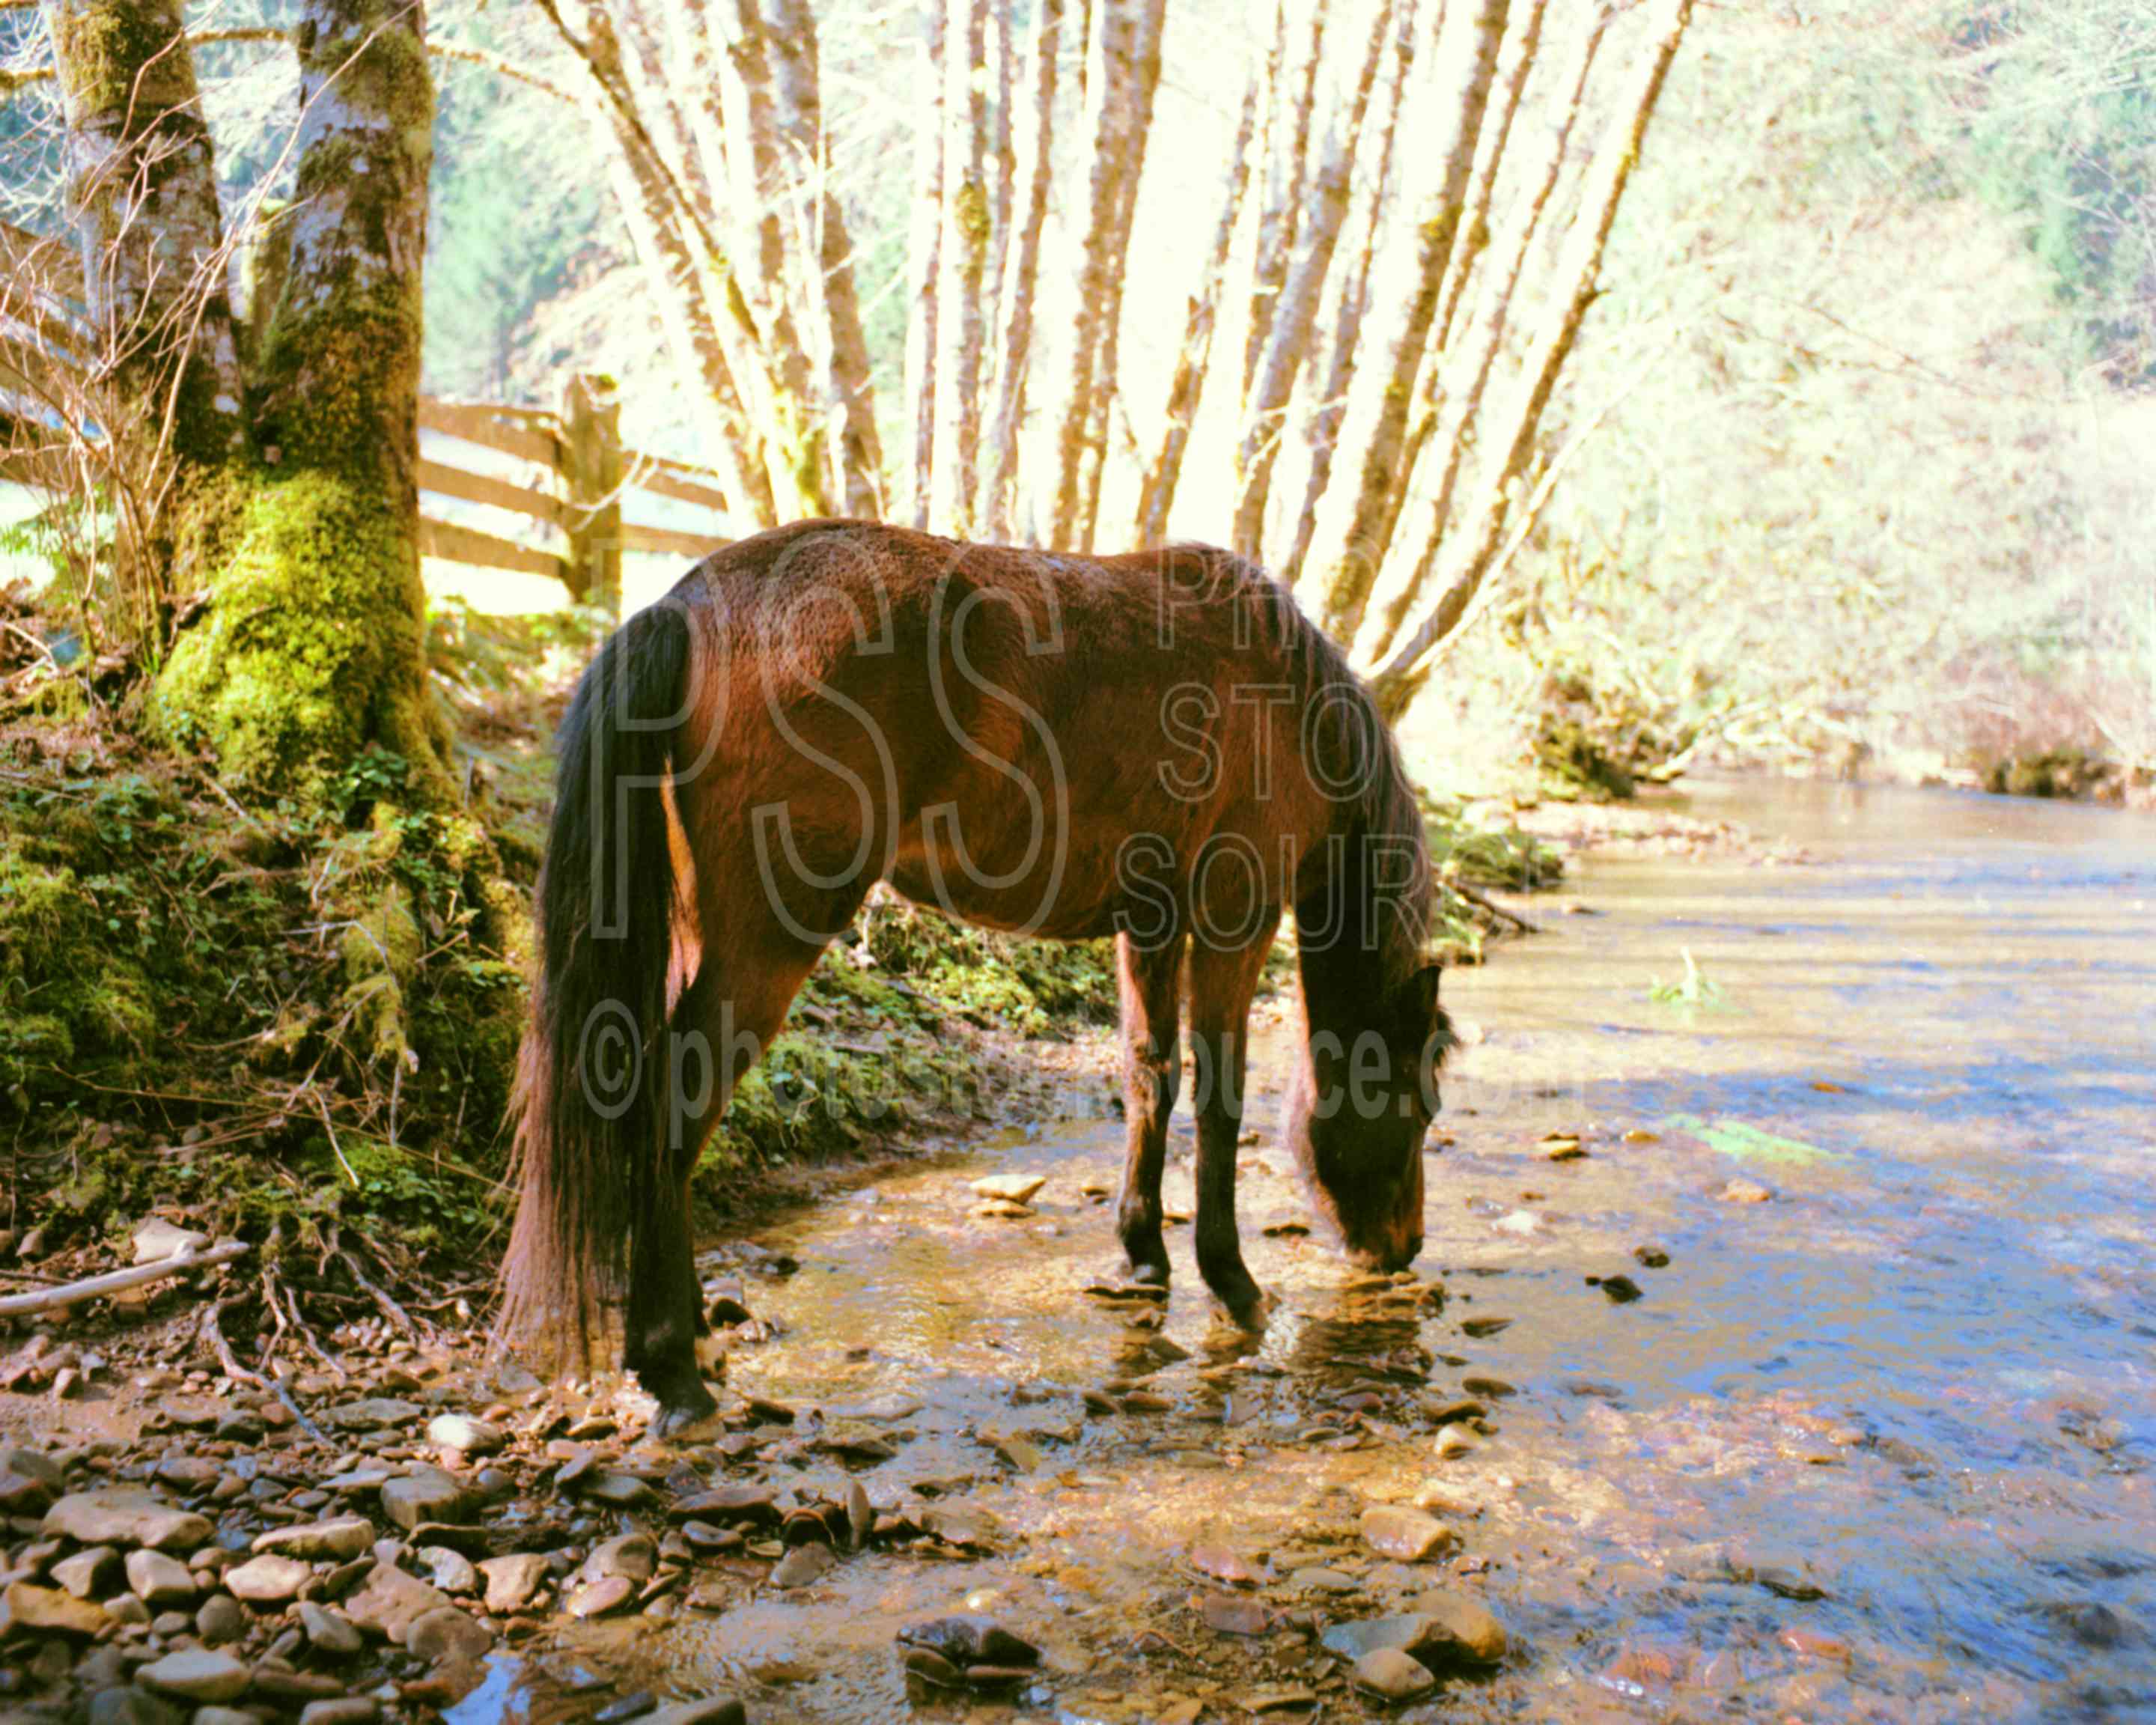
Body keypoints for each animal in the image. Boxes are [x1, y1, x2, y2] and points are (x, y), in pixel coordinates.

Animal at [496, 515, 1457, 1432]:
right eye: (1419, 1103)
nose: (1401, 1248)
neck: (1286, 694)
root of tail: (690, 605)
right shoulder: (1235, 917)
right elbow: (1220, 1099)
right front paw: (1232, 1281)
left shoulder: (1150, 924)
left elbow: (1151, 1077)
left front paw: (1143, 1256)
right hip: (769, 939)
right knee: (675, 1104)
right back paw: (673, 1366)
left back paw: (691, 1334)